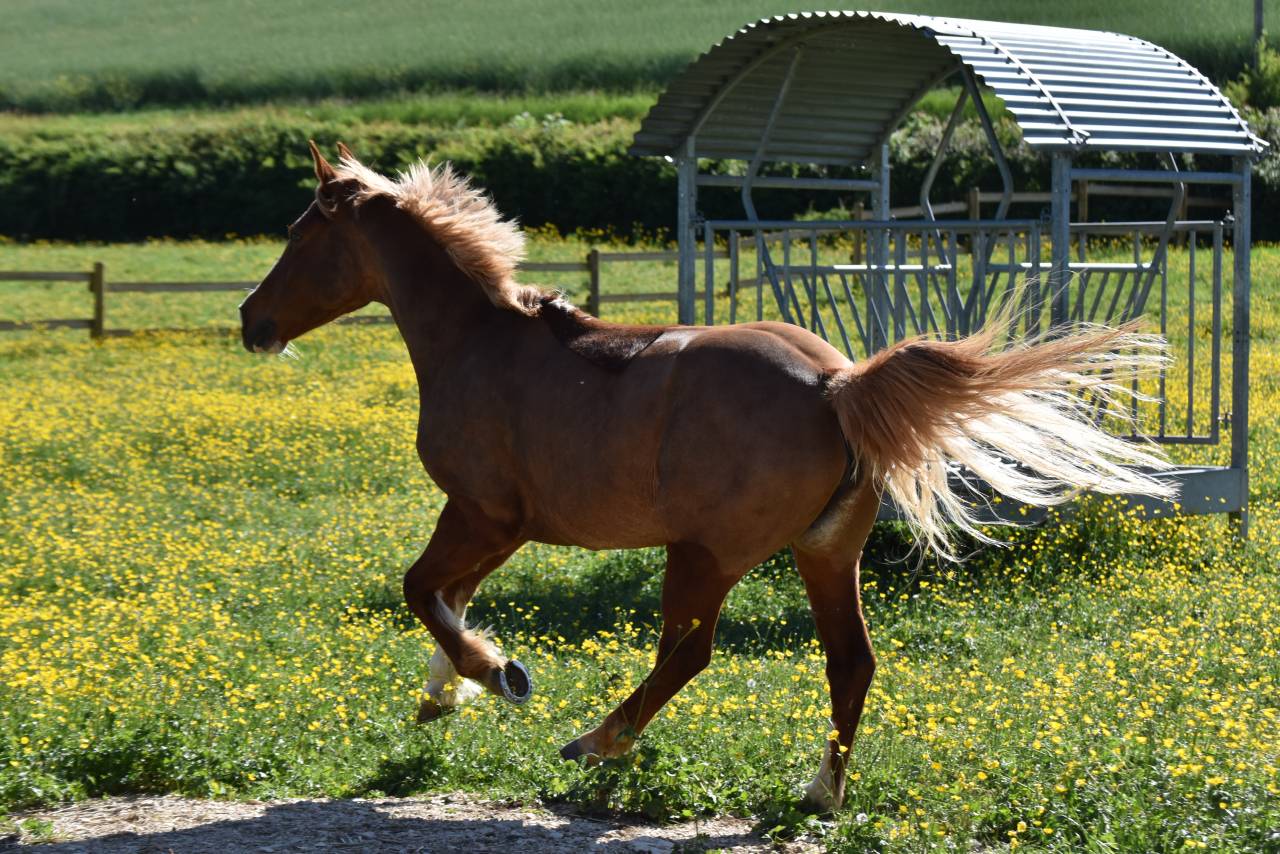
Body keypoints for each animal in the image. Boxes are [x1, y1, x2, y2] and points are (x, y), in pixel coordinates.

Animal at [239, 141, 1174, 812]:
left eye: (300, 235)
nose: (252, 321)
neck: (476, 340)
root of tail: (836, 384)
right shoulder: (492, 523)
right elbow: (447, 596)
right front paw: (447, 694)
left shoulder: (485, 514)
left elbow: (424, 590)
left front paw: (496, 675)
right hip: (826, 554)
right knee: (850, 662)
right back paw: (820, 793)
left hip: (703, 555)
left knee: (689, 651)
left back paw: (596, 742)